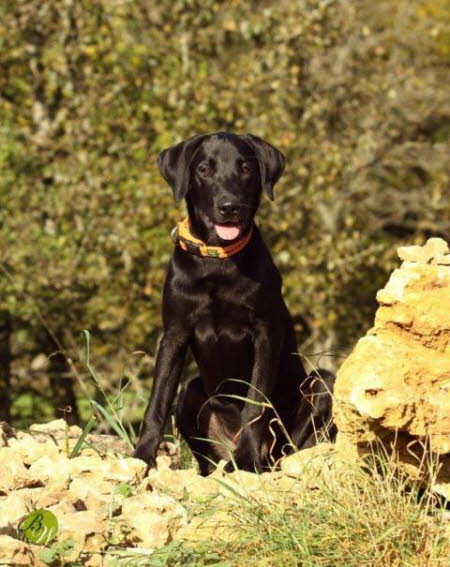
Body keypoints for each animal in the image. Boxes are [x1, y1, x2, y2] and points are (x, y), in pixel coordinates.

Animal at [134, 132, 334, 474]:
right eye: (204, 169)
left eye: (245, 168)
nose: (229, 207)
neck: (218, 261)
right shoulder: (174, 334)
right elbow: (156, 402)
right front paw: (142, 456)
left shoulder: (267, 333)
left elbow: (255, 402)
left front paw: (246, 459)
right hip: (190, 391)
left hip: (321, 383)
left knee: (289, 446)